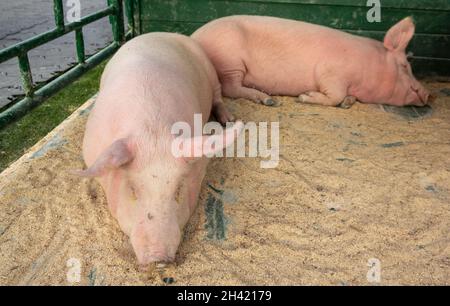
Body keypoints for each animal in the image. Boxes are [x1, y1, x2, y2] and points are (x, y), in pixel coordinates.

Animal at [76, 33, 243, 266]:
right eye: (132, 190)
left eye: (178, 190)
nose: (158, 258)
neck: (151, 134)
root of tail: (161, 33)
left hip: (211, 72)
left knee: (218, 97)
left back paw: (228, 120)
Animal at [192, 16, 430, 109]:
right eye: (405, 66)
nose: (428, 94)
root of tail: (196, 36)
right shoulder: (330, 72)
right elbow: (335, 96)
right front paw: (304, 97)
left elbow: (345, 97)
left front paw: (348, 103)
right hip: (230, 61)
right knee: (231, 88)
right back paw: (268, 100)